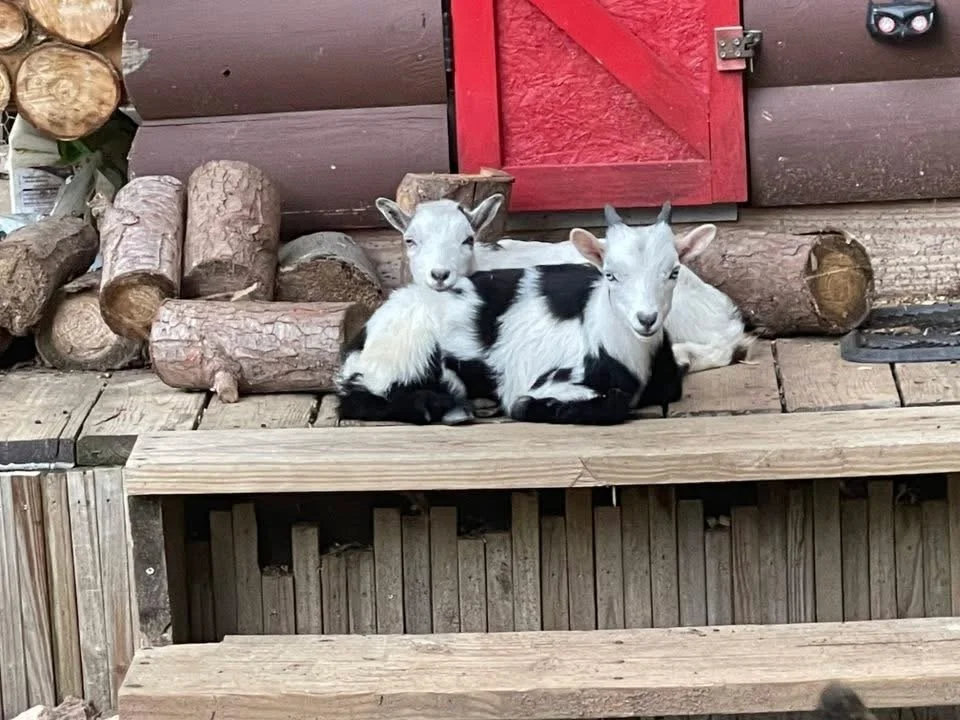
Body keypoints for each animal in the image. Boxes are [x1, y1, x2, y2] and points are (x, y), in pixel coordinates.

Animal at [337, 201, 702, 425]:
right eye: (610, 274)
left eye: (674, 272)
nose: (646, 319)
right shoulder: (549, 380)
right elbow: (605, 403)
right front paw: (529, 406)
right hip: (407, 350)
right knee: (362, 398)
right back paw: (454, 407)